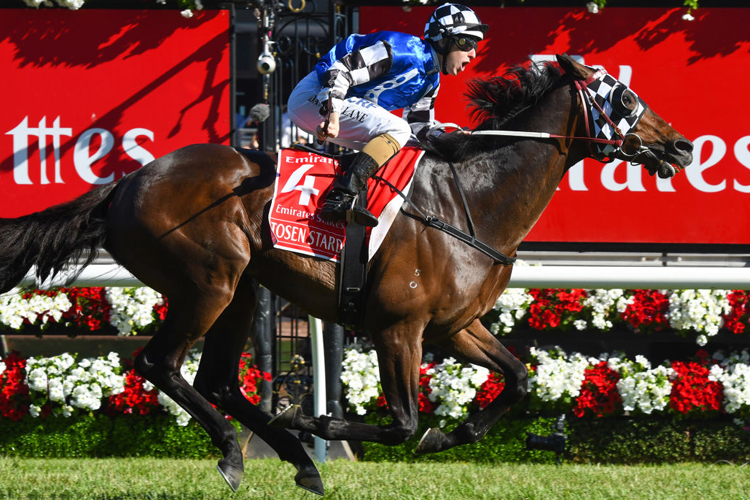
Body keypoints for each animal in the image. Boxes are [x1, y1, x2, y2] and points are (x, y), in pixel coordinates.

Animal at [0, 55, 692, 496]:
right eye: (625, 96)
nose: (682, 145)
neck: (470, 199)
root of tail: (125, 185)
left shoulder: (454, 327)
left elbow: (517, 379)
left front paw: (452, 434)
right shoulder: (398, 328)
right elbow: (403, 421)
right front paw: (318, 423)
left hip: (241, 286)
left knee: (215, 379)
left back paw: (294, 462)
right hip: (207, 282)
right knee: (158, 364)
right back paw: (242, 451)